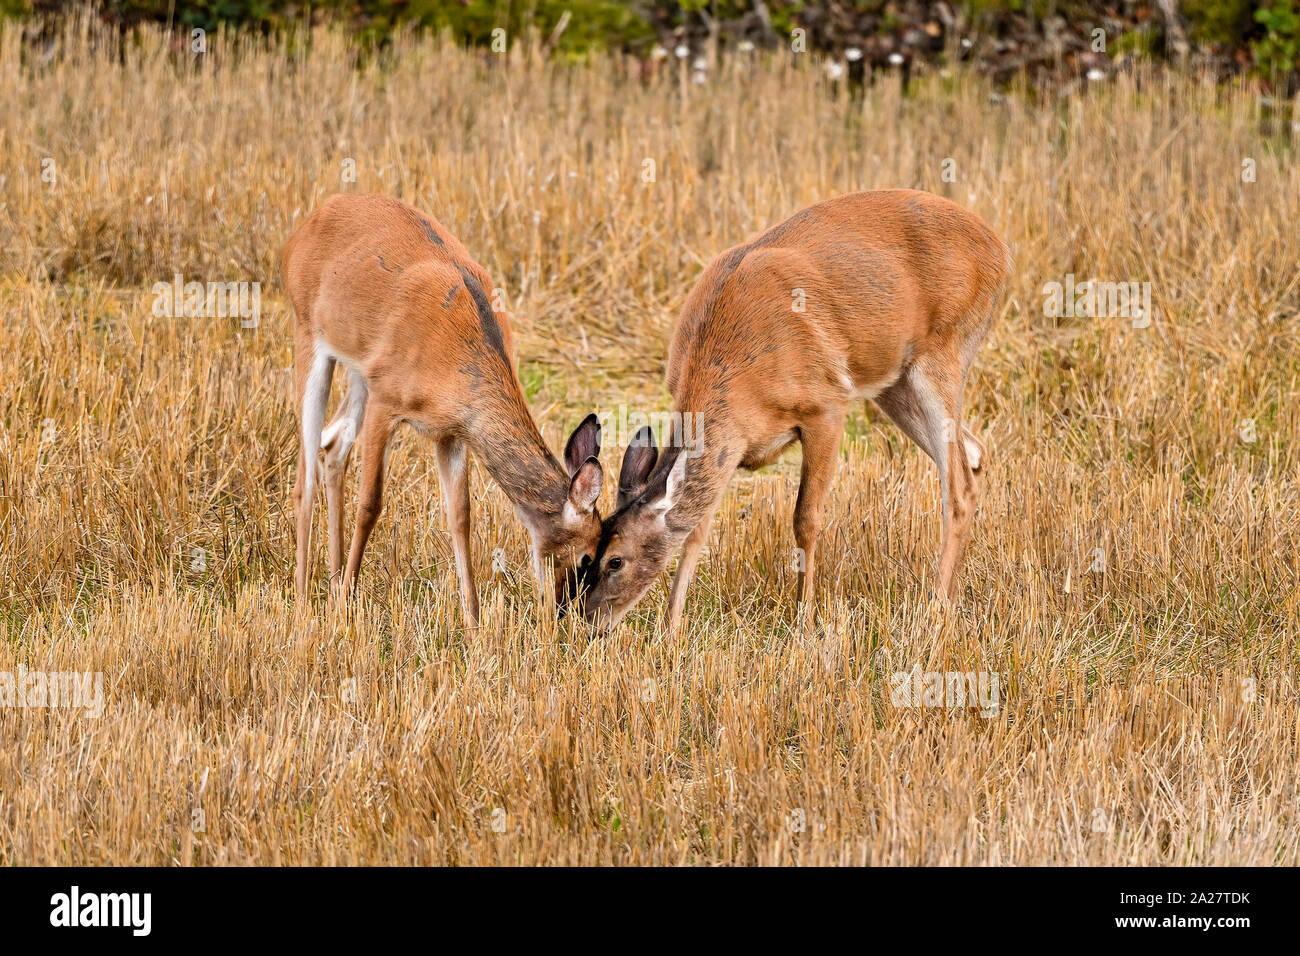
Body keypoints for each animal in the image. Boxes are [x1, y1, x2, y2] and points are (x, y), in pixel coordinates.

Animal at [281, 193, 606, 626]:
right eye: (586, 557)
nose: (567, 613)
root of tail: (307, 223)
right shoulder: (387, 401)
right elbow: (371, 503)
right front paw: (346, 604)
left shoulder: (451, 431)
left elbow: (461, 516)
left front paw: (473, 620)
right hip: (309, 335)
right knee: (305, 473)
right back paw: (304, 600)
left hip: (358, 372)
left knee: (333, 446)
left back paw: (331, 579)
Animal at [576, 189, 1010, 633]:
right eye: (586, 555)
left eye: (615, 560)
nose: (586, 620)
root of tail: (998, 249)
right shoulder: (731, 445)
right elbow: (697, 530)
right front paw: (671, 628)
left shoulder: (826, 406)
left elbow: (806, 518)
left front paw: (803, 617)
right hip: (895, 382)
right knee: (974, 452)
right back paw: (951, 595)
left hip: (944, 351)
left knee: (958, 483)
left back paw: (935, 607)